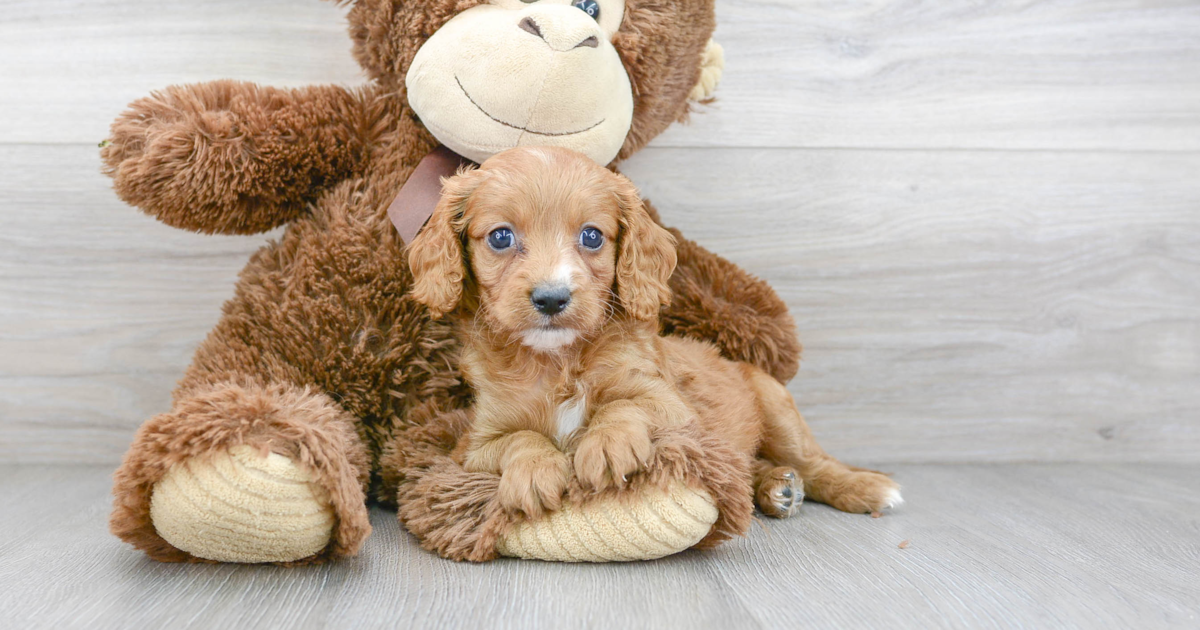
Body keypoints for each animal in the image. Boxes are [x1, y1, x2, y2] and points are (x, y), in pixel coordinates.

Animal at [405, 148, 902, 520]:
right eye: (501, 237)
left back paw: (862, 487)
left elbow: (626, 403)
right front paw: (533, 470)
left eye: (592, 236)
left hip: (776, 404)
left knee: (814, 463)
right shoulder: (474, 445)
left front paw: (607, 443)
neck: (558, 360)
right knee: (745, 468)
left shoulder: (674, 408)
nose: (551, 298)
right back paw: (775, 487)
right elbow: (518, 439)